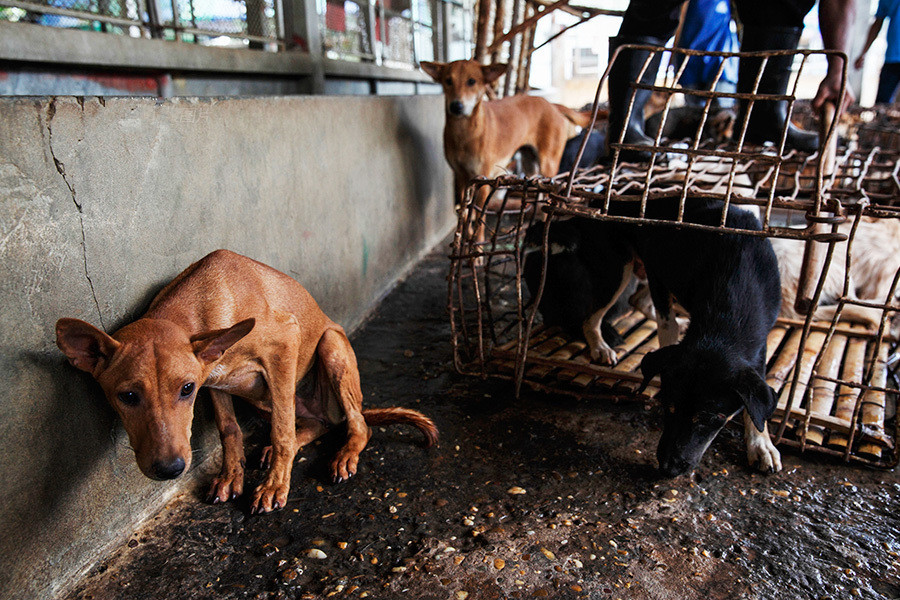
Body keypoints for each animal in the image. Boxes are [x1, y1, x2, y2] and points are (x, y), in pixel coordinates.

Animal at [54, 248, 438, 510]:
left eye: (186, 390)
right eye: (128, 396)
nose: (169, 469)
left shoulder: (284, 344)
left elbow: (282, 431)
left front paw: (274, 486)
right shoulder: (215, 382)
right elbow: (230, 431)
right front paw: (230, 477)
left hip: (330, 348)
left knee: (355, 424)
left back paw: (343, 454)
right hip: (264, 399)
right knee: (320, 424)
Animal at [524, 198, 784, 478]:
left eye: (709, 418)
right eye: (669, 406)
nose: (669, 468)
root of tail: (592, 206)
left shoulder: (759, 338)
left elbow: (756, 399)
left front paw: (761, 444)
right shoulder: (660, 277)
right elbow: (667, 332)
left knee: (635, 300)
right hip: (619, 269)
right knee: (591, 318)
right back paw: (600, 347)